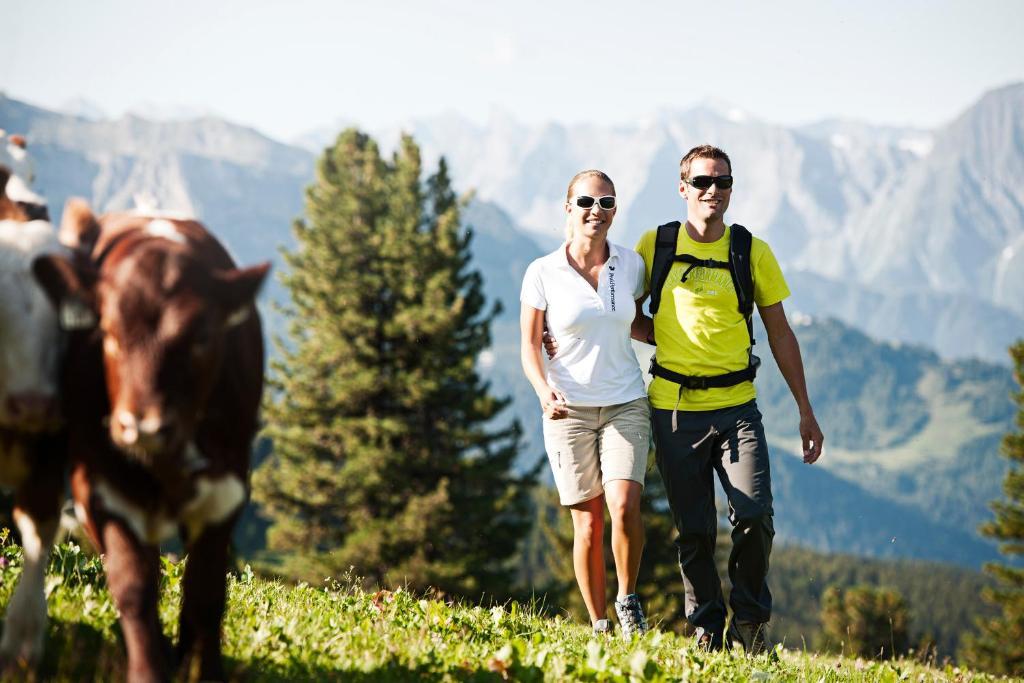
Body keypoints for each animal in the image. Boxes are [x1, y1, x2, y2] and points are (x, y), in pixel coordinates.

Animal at [34, 202, 268, 683]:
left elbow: (205, 593)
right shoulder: (98, 487)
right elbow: (134, 584)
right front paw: (148, 666)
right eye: (108, 332)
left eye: (202, 336)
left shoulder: (228, 489)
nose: (141, 426)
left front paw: (202, 668)